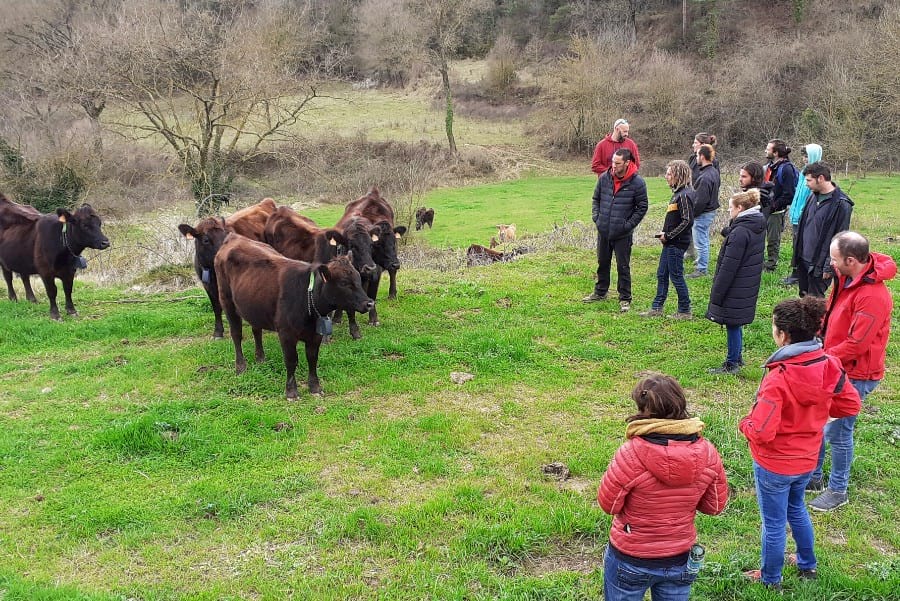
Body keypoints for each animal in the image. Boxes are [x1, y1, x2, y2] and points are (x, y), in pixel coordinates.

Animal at [214, 234, 372, 398]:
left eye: (358, 279)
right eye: (344, 283)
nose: (369, 303)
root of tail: (234, 237)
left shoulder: (315, 335)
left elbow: (312, 358)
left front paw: (315, 387)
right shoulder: (286, 334)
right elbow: (291, 360)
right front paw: (291, 391)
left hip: (253, 305)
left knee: (256, 330)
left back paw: (260, 358)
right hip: (227, 301)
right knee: (236, 334)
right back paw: (240, 366)